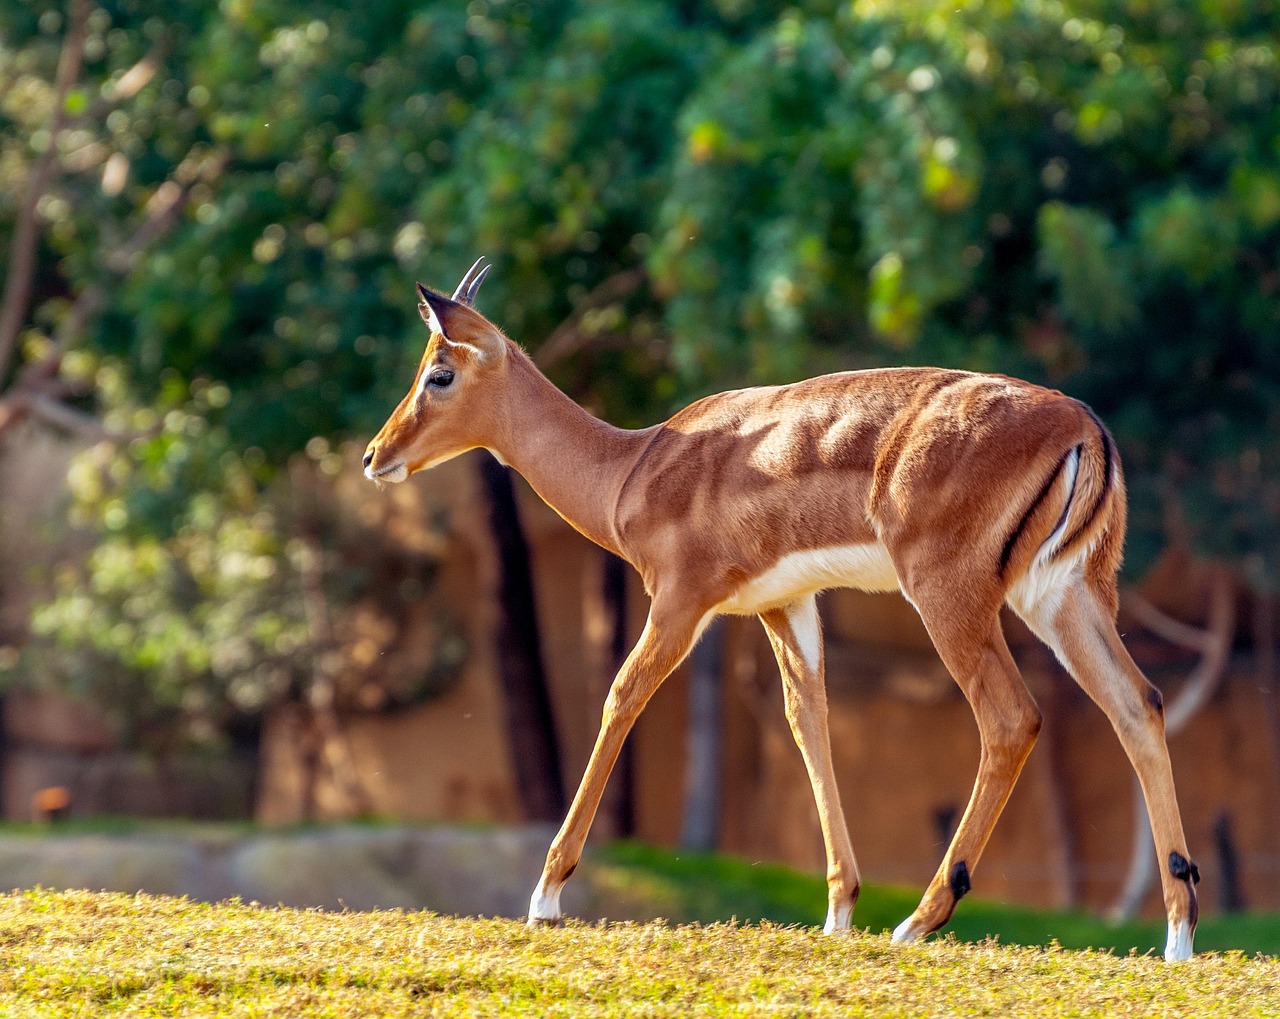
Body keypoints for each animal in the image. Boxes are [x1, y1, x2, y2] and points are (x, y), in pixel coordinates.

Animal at [363, 258, 1201, 961]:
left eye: (439, 372)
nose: (375, 455)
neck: (632, 468)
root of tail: (1082, 423)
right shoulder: (784, 604)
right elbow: (808, 721)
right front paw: (838, 911)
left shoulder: (681, 599)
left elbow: (620, 696)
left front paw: (544, 897)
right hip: (1065, 596)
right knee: (1139, 703)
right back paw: (1177, 934)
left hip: (950, 594)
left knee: (1012, 716)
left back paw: (919, 919)